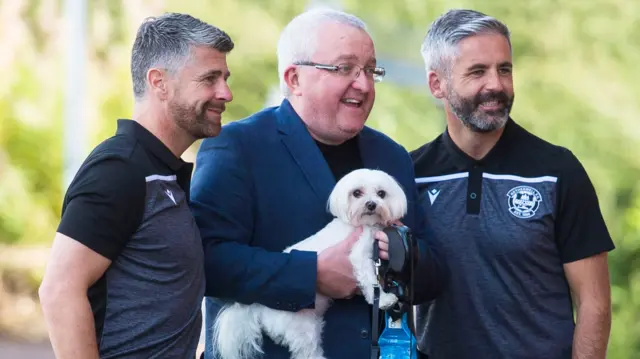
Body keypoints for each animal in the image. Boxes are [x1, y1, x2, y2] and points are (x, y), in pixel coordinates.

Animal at [212, 169, 408, 359]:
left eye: (381, 193)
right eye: (356, 193)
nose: (371, 204)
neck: (365, 225)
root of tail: (258, 307)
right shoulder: (359, 257)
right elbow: (370, 282)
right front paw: (383, 299)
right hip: (301, 326)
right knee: (306, 352)